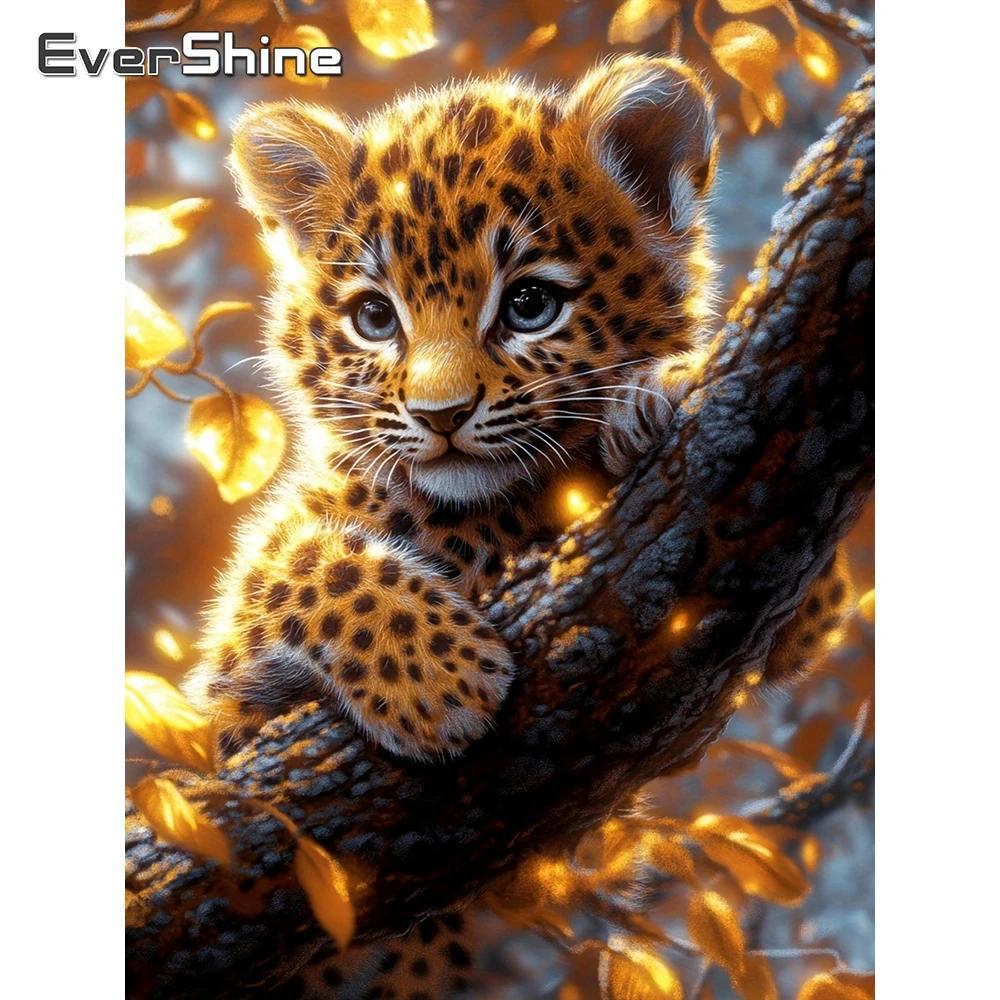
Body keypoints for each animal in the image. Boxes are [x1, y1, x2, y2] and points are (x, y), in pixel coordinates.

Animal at [182, 54, 852, 771]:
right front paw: (438, 680)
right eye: (375, 318)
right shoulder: (229, 684)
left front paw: (661, 392)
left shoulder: (798, 603)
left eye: (530, 304)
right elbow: (300, 565)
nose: (441, 415)